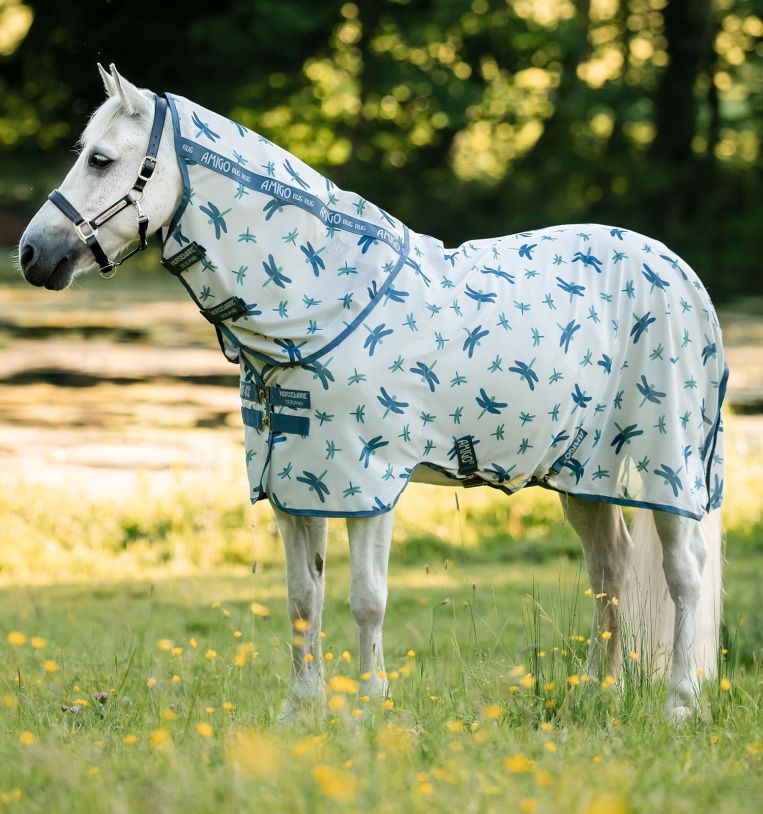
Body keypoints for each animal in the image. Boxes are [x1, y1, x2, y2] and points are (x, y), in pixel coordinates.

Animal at [18, 65, 726, 721]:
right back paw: (600, 692)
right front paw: (301, 711)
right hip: (584, 474)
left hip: (666, 466)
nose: (31, 255)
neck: (320, 307)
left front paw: (367, 711)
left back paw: (680, 703)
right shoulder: (295, 484)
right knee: (610, 568)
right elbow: (302, 598)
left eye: (101, 159)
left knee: (683, 575)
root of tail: (681, 272)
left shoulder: (369, 483)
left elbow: (367, 599)